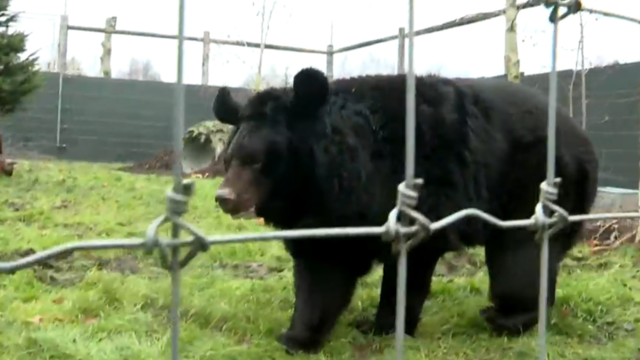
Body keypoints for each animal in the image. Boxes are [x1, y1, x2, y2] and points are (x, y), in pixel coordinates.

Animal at [211, 67, 600, 354]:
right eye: (229, 159)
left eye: (257, 161)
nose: (224, 197)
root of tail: (584, 140)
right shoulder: (332, 210)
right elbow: (323, 265)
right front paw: (298, 336)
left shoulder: (417, 193)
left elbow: (408, 262)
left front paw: (385, 326)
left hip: (535, 187)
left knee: (519, 260)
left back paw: (504, 317)